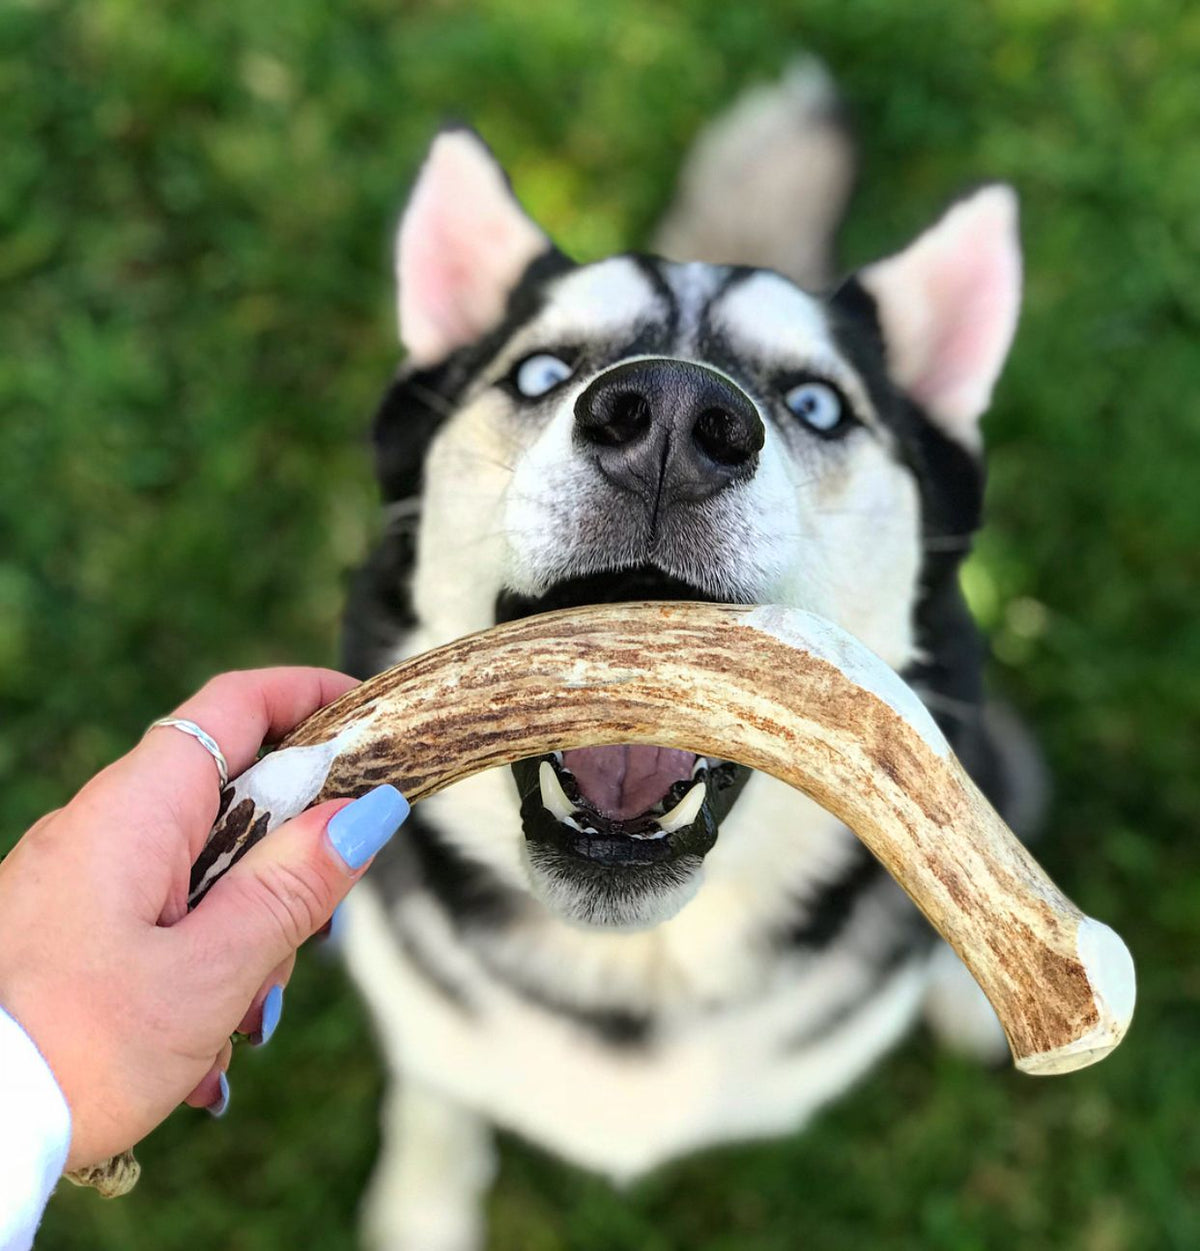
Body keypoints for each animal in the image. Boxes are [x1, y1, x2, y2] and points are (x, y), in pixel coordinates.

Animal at [337, 63, 1041, 1251]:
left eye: (816, 403)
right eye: (539, 370)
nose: (670, 413)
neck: (637, 965)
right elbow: (437, 1100)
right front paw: (419, 1208)